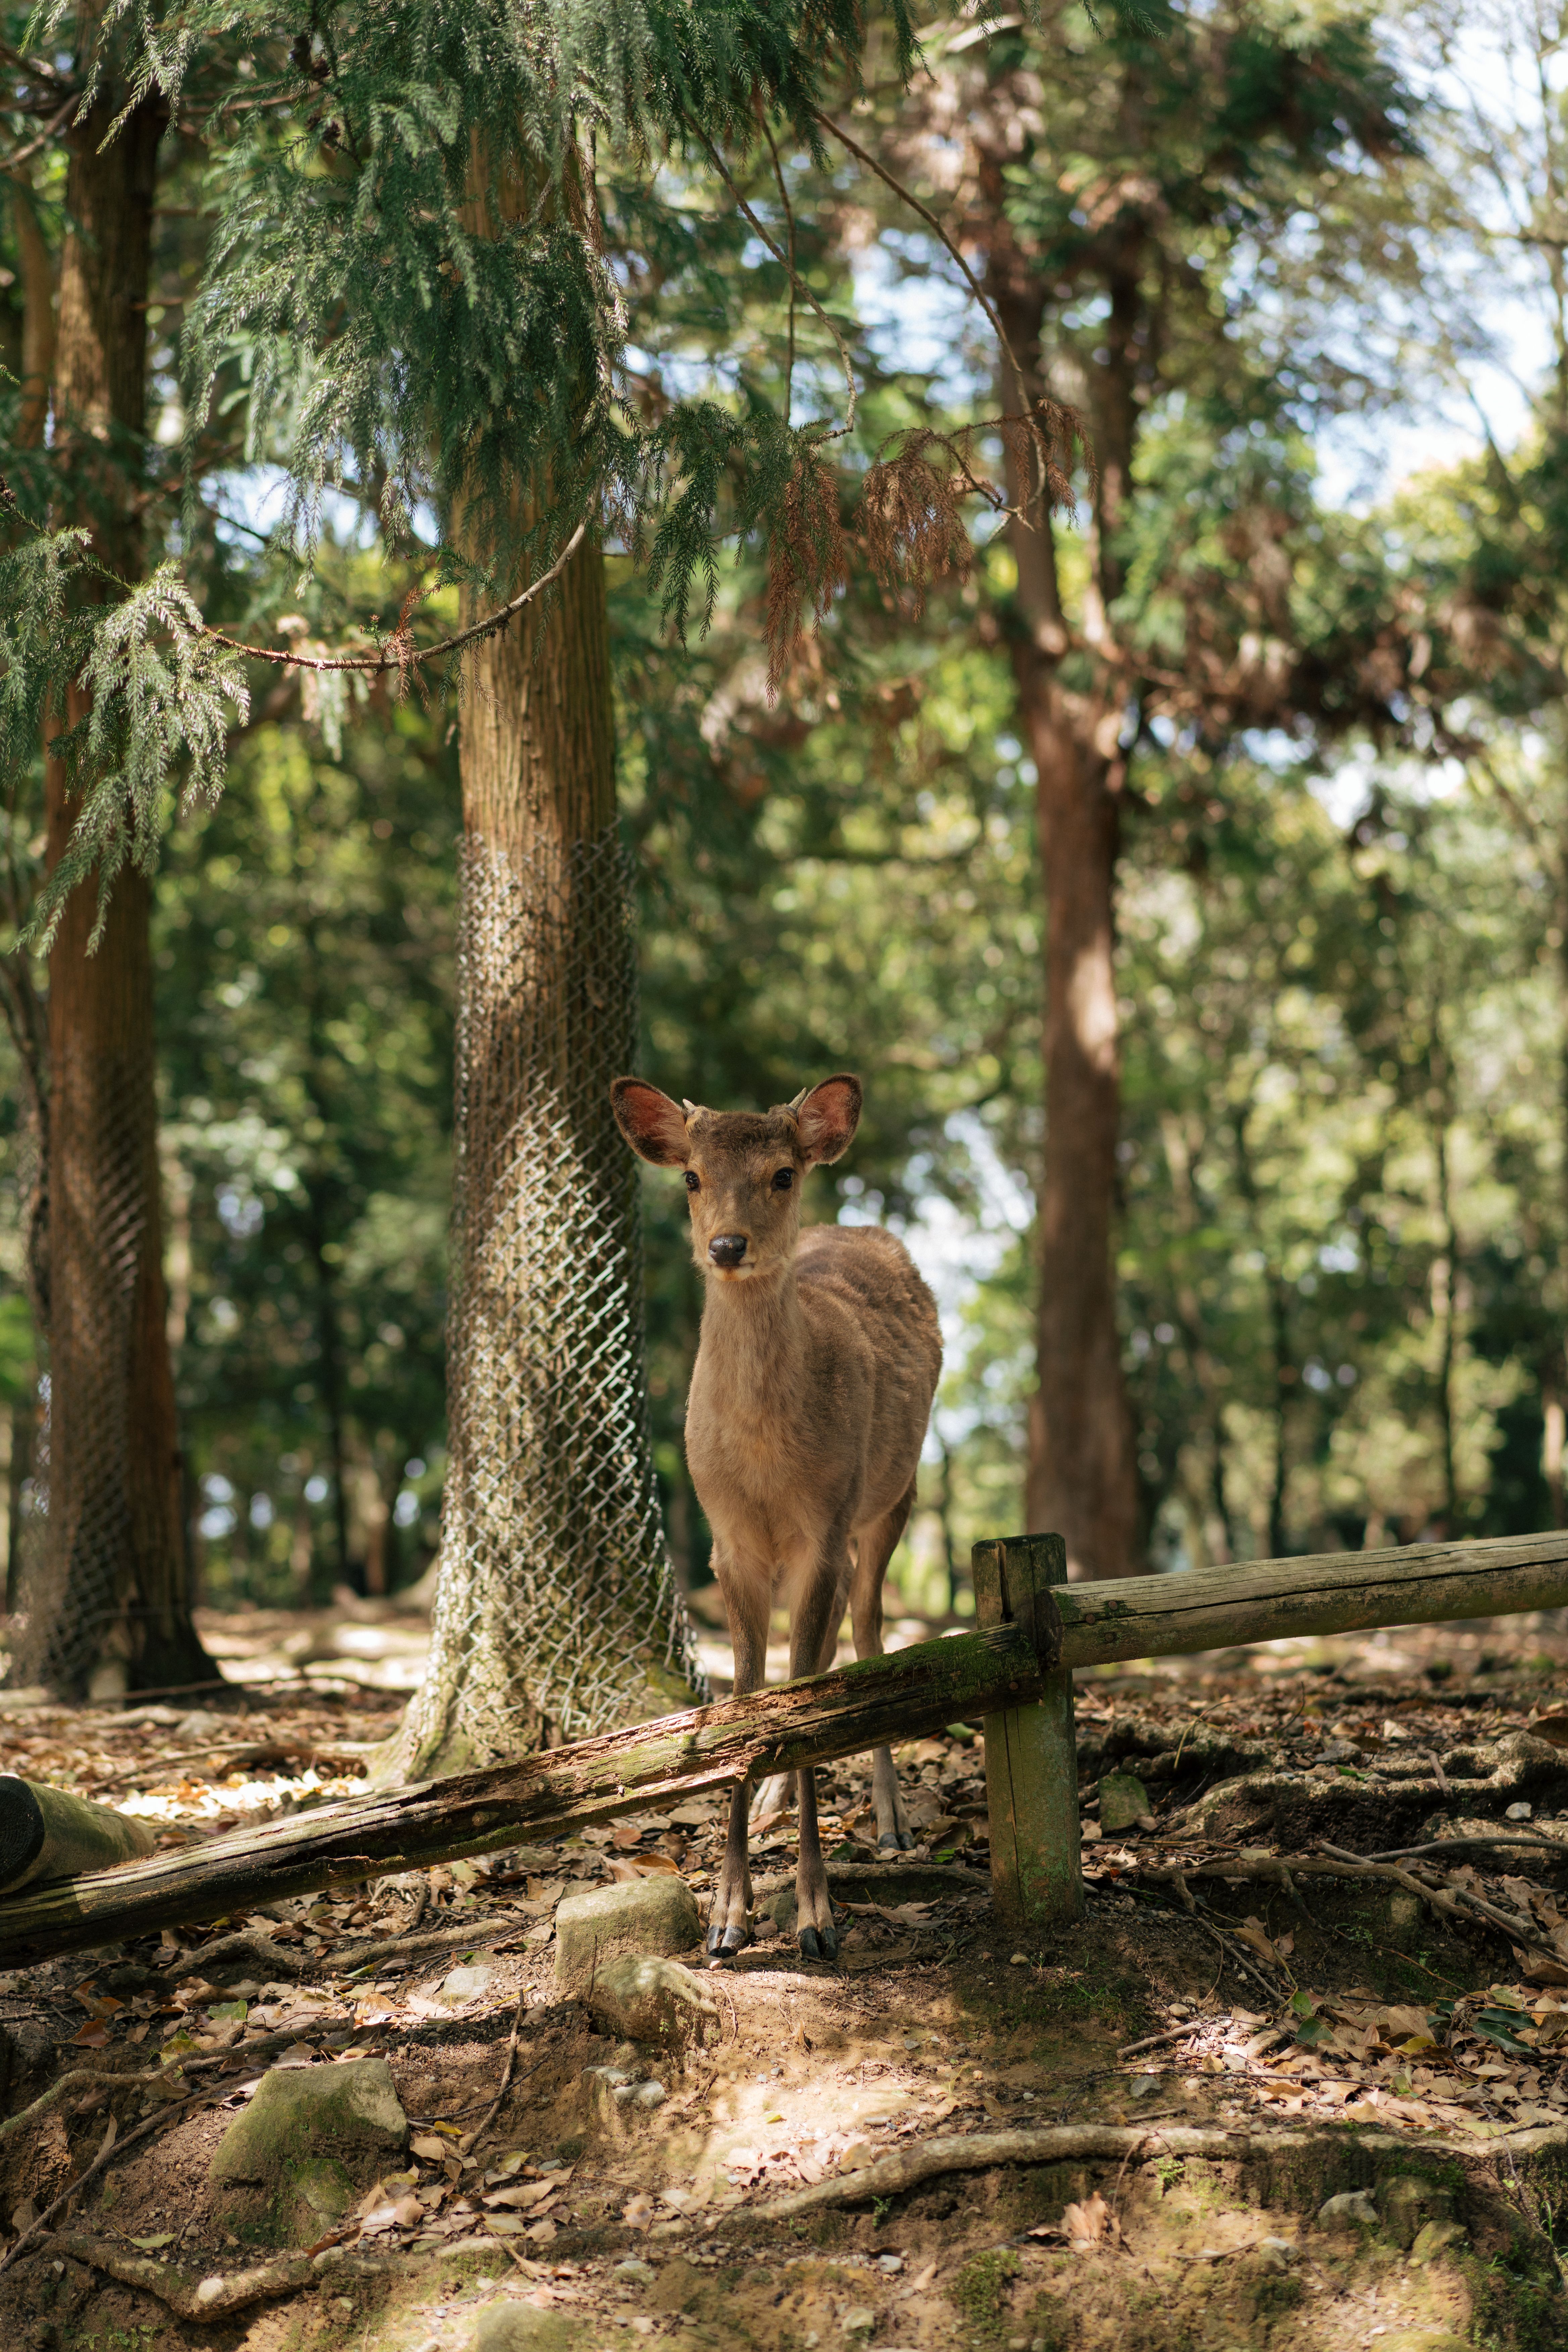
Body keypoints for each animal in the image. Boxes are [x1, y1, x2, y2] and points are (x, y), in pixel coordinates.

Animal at [610, 1072, 942, 1959]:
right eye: (692, 1177)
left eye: (782, 1175)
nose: (727, 1246)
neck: (765, 1463)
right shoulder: (728, 1545)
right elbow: (748, 1702)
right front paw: (727, 1916)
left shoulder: (824, 1522)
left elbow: (804, 1700)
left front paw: (816, 1919)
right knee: (819, 1658)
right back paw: (774, 1805)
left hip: (894, 1490)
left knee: (865, 1632)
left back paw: (891, 1822)